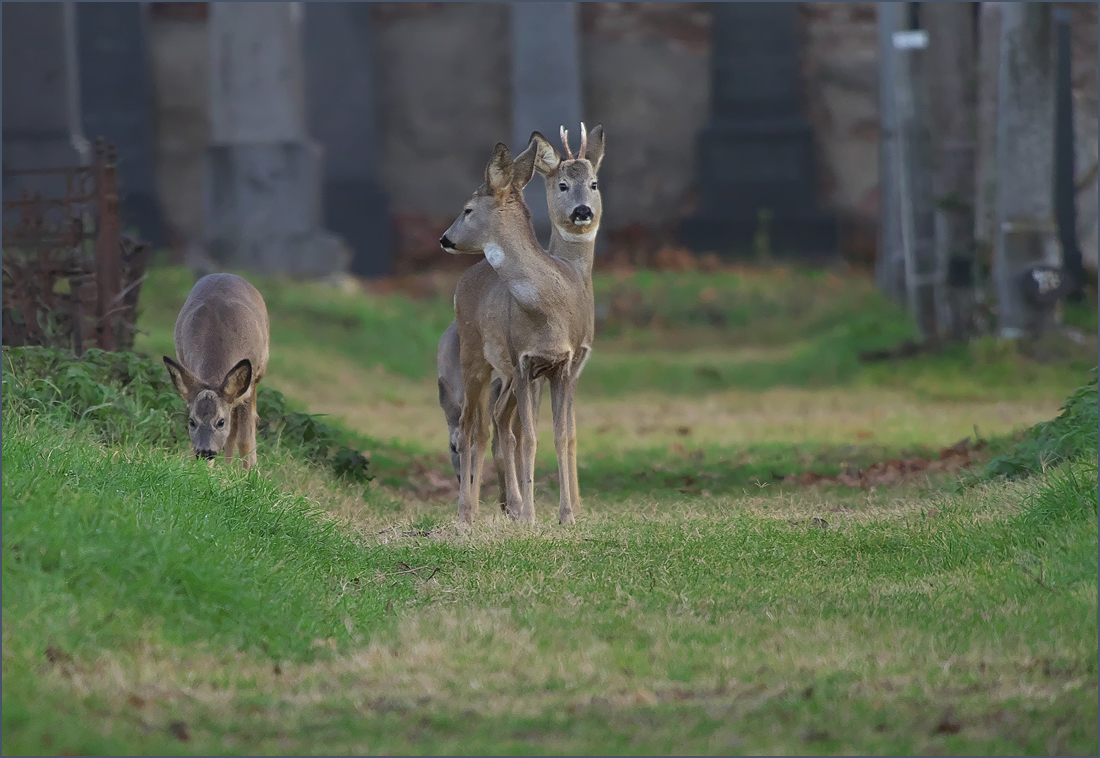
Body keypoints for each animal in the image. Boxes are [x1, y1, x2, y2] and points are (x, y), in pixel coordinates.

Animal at [162, 270, 270, 466]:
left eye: (220, 422)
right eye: (192, 421)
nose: (205, 452)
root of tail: (225, 273)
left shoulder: (249, 387)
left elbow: (245, 439)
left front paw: (252, 471)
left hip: (257, 376)